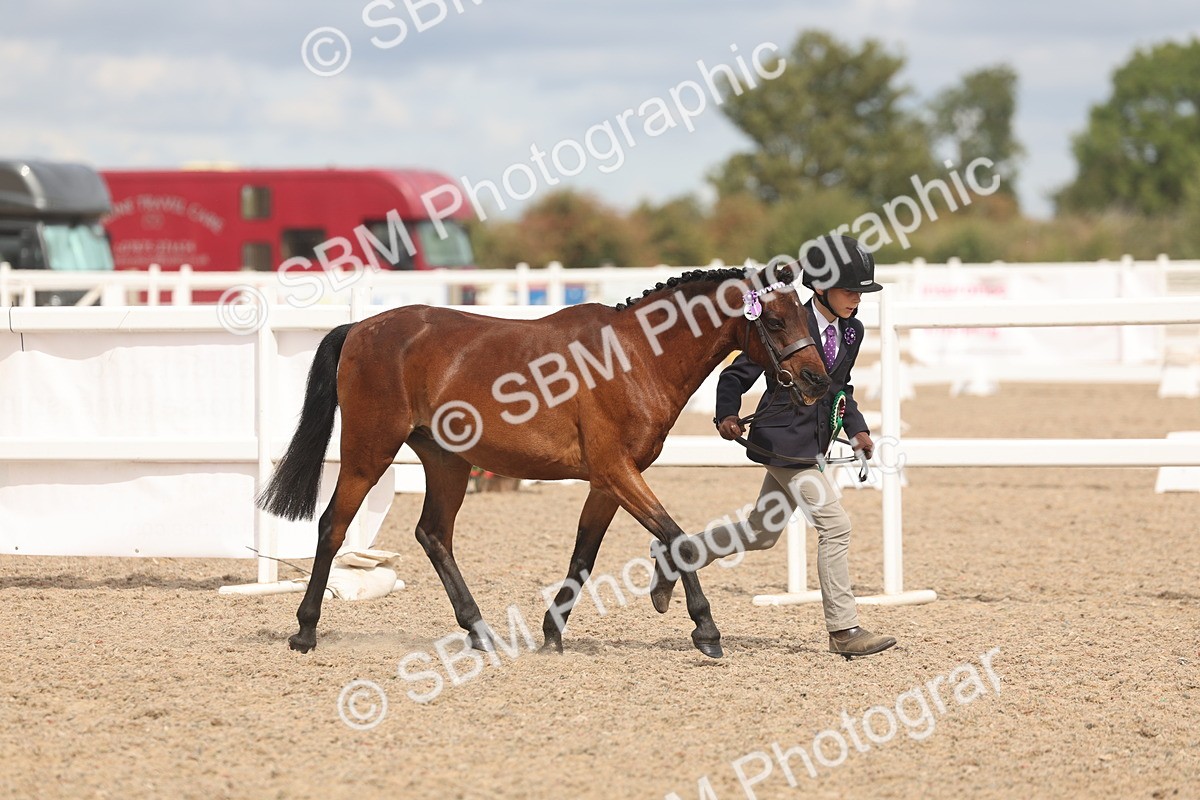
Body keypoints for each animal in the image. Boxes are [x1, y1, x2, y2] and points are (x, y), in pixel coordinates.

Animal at [257, 263, 831, 658]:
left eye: (805, 314)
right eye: (774, 320)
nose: (817, 381)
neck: (637, 356)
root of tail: (359, 328)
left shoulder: (608, 481)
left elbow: (585, 555)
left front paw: (553, 632)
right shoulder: (615, 472)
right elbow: (677, 537)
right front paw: (705, 628)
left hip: (447, 462)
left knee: (433, 534)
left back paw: (480, 631)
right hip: (368, 451)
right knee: (333, 526)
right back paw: (305, 630)